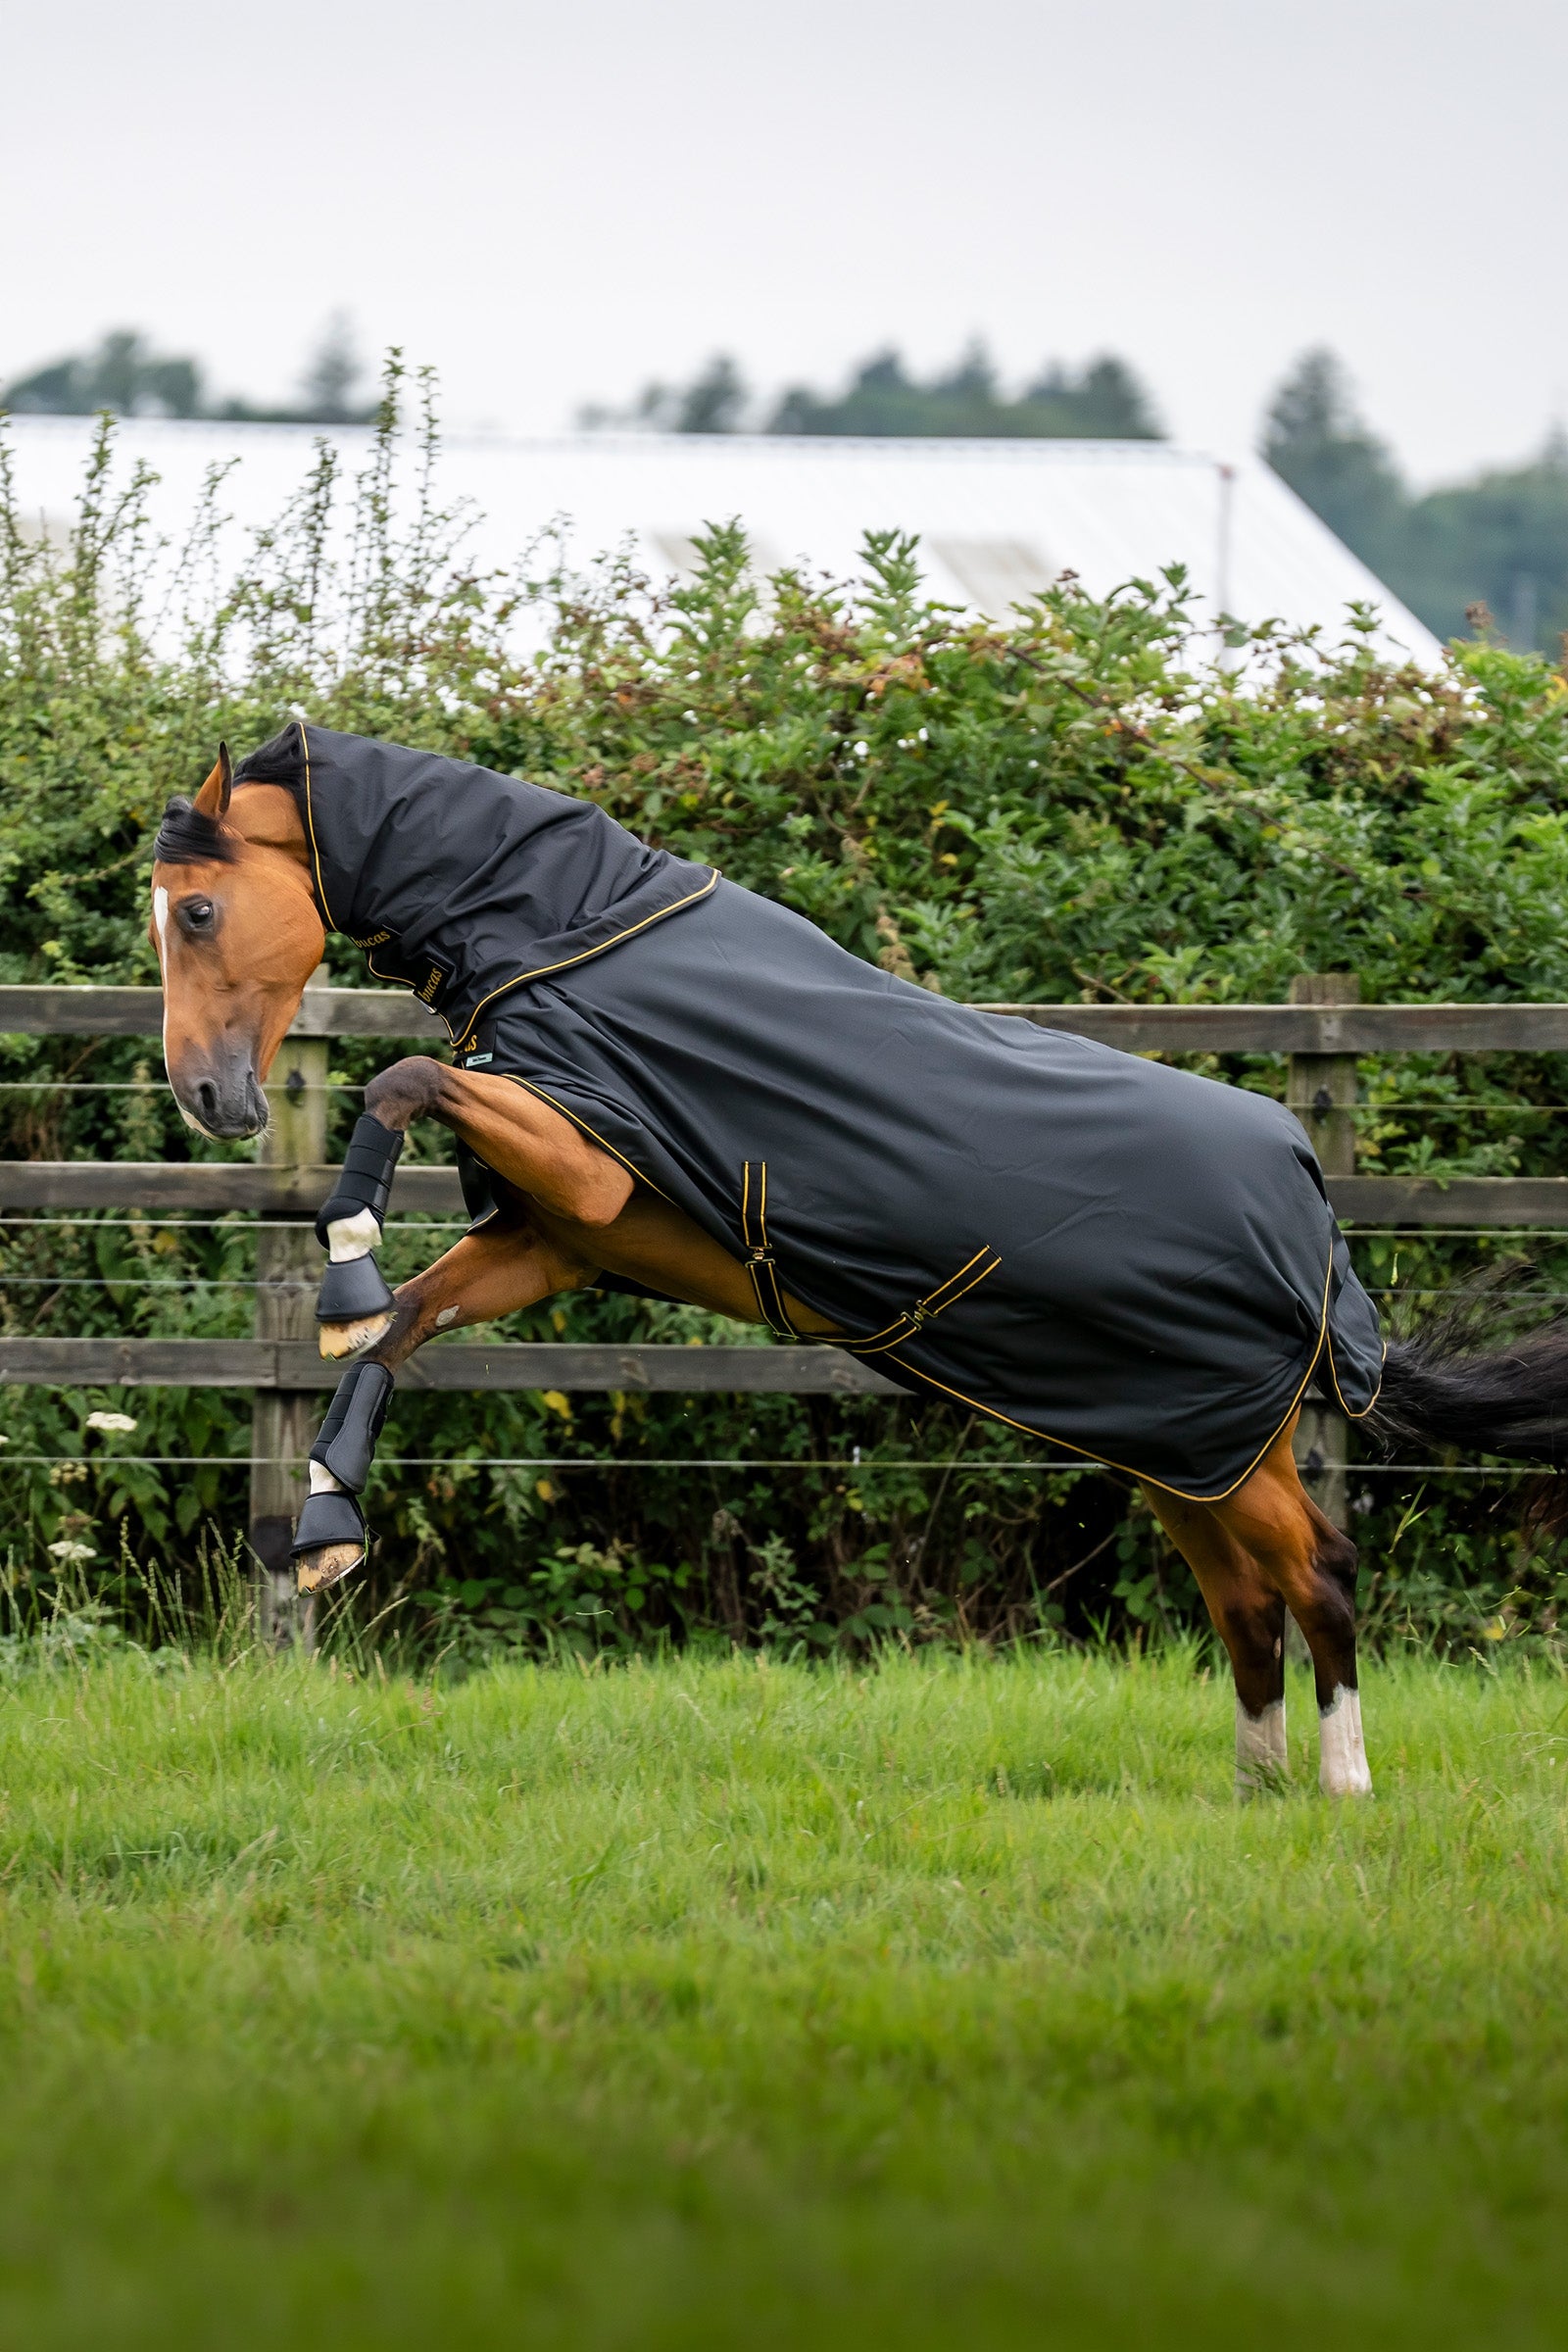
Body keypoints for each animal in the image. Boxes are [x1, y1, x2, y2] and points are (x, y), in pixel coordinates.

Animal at [149, 728, 1568, 1800]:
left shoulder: (586, 1168)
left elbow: (401, 1080)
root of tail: (1315, 1219)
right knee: (1242, 1599)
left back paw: (1341, 1784)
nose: (213, 1099)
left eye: (199, 909)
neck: (574, 935)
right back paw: (1254, 1787)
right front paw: (324, 1524)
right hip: (1183, 1444)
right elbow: (395, 1337)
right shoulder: (554, 1239)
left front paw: (341, 1267)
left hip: (1216, 1445)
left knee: (1317, 1573)